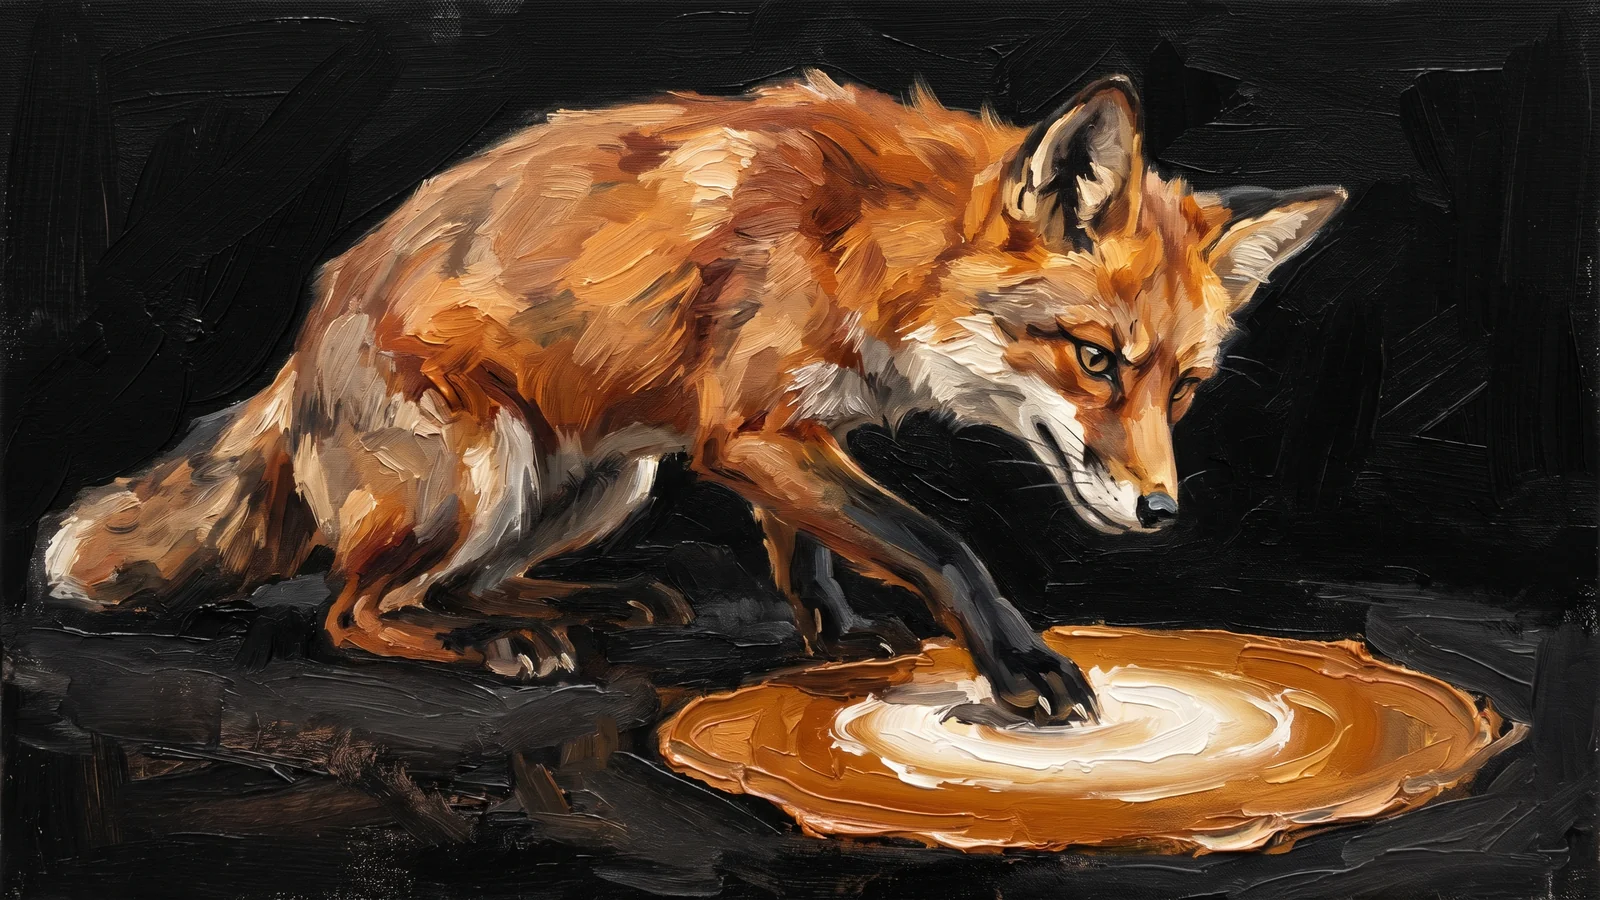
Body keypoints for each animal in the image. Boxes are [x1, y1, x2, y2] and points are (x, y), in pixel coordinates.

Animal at [40, 70, 1343, 725]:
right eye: (1097, 360)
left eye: (1186, 385)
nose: (1162, 513)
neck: (868, 247)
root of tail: (300, 361)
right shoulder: (749, 432)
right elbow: (935, 541)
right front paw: (1018, 666)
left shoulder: (789, 436)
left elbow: (810, 549)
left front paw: (838, 636)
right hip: (477, 469)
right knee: (352, 610)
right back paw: (503, 646)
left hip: (607, 481)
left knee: (458, 581)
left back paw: (585, 604)